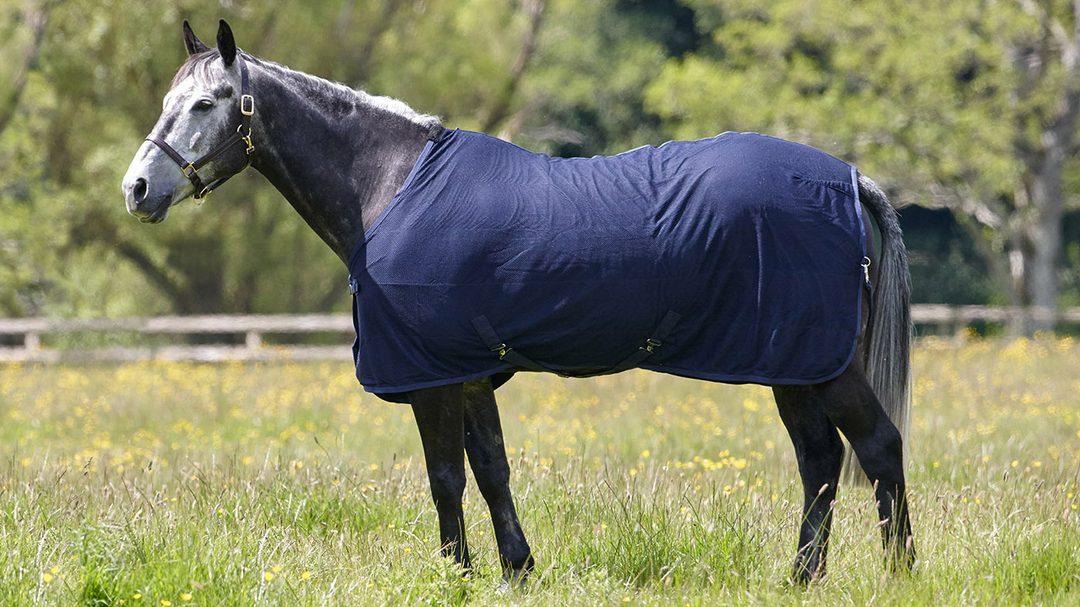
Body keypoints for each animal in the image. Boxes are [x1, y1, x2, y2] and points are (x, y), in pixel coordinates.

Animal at [121, 20, 915, 585]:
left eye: (205, 103)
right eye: (164, 102)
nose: (136, 189)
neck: (390, 187)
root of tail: (848, 179)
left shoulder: (432, 378)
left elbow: (445, 478)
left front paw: (457, 575)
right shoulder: (470, 373)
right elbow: (492, 469)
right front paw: (515, 569)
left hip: (821, 363)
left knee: (877, 446)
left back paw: (897, 573)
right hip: (795, 365)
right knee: (819, 461)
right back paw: (799, 579)